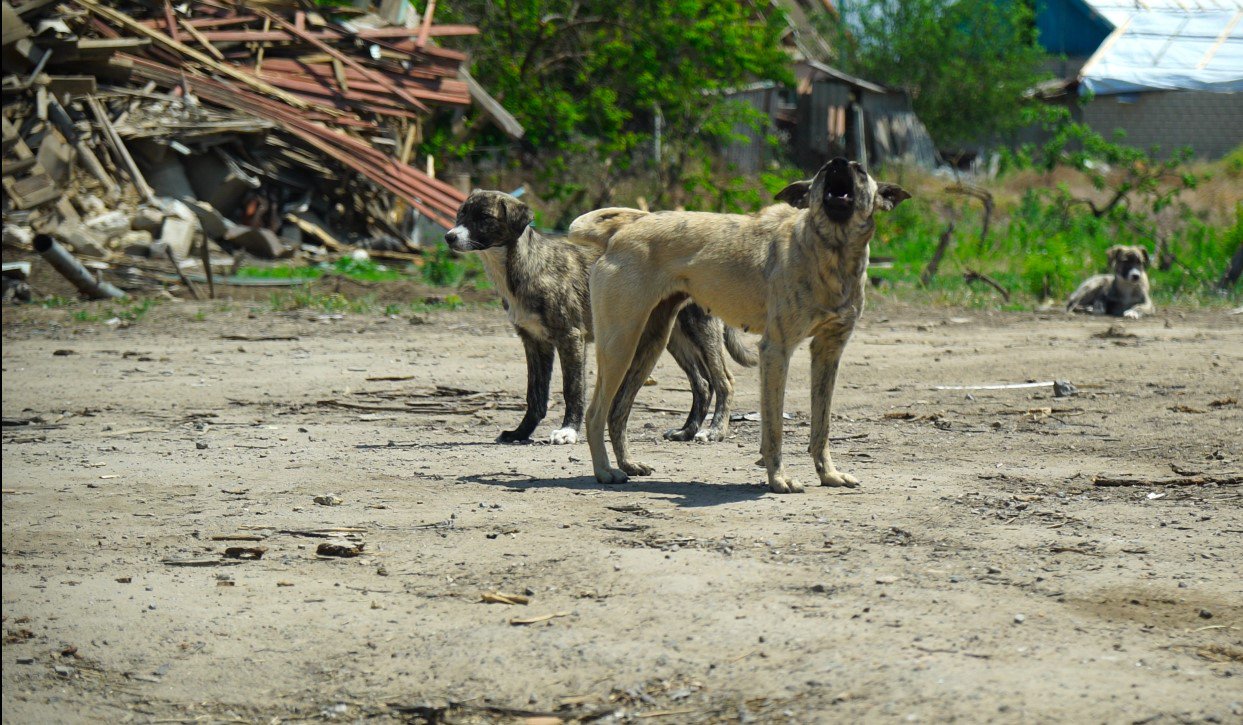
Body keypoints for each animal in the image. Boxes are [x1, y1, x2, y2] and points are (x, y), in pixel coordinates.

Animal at [447, 190, 755, 445]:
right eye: (461, 213)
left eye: (484, 217)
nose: (449, 237)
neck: (523, 267)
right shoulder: (534, 342)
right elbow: (535, 395)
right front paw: (520, 433)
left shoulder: (570, 337)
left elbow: (572, 389)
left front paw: (568, 431)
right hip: (672, 336)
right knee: (701, 384)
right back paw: (686, 431)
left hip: (700, 329)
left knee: (724, 381)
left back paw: (713, 431)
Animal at [571, 157, 914, 492]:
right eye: (824, 169)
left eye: (860, 170)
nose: (839, 162)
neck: (831, 252)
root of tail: (623, 230)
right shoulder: (776, 351)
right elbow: (774, 428)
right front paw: (778, 479)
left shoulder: (828, 354)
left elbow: (822, 426)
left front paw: (828, 474)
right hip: (621, 346)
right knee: (595, 412)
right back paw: (605, 471)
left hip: (651, 345)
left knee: (618, 411)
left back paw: (628, 464)